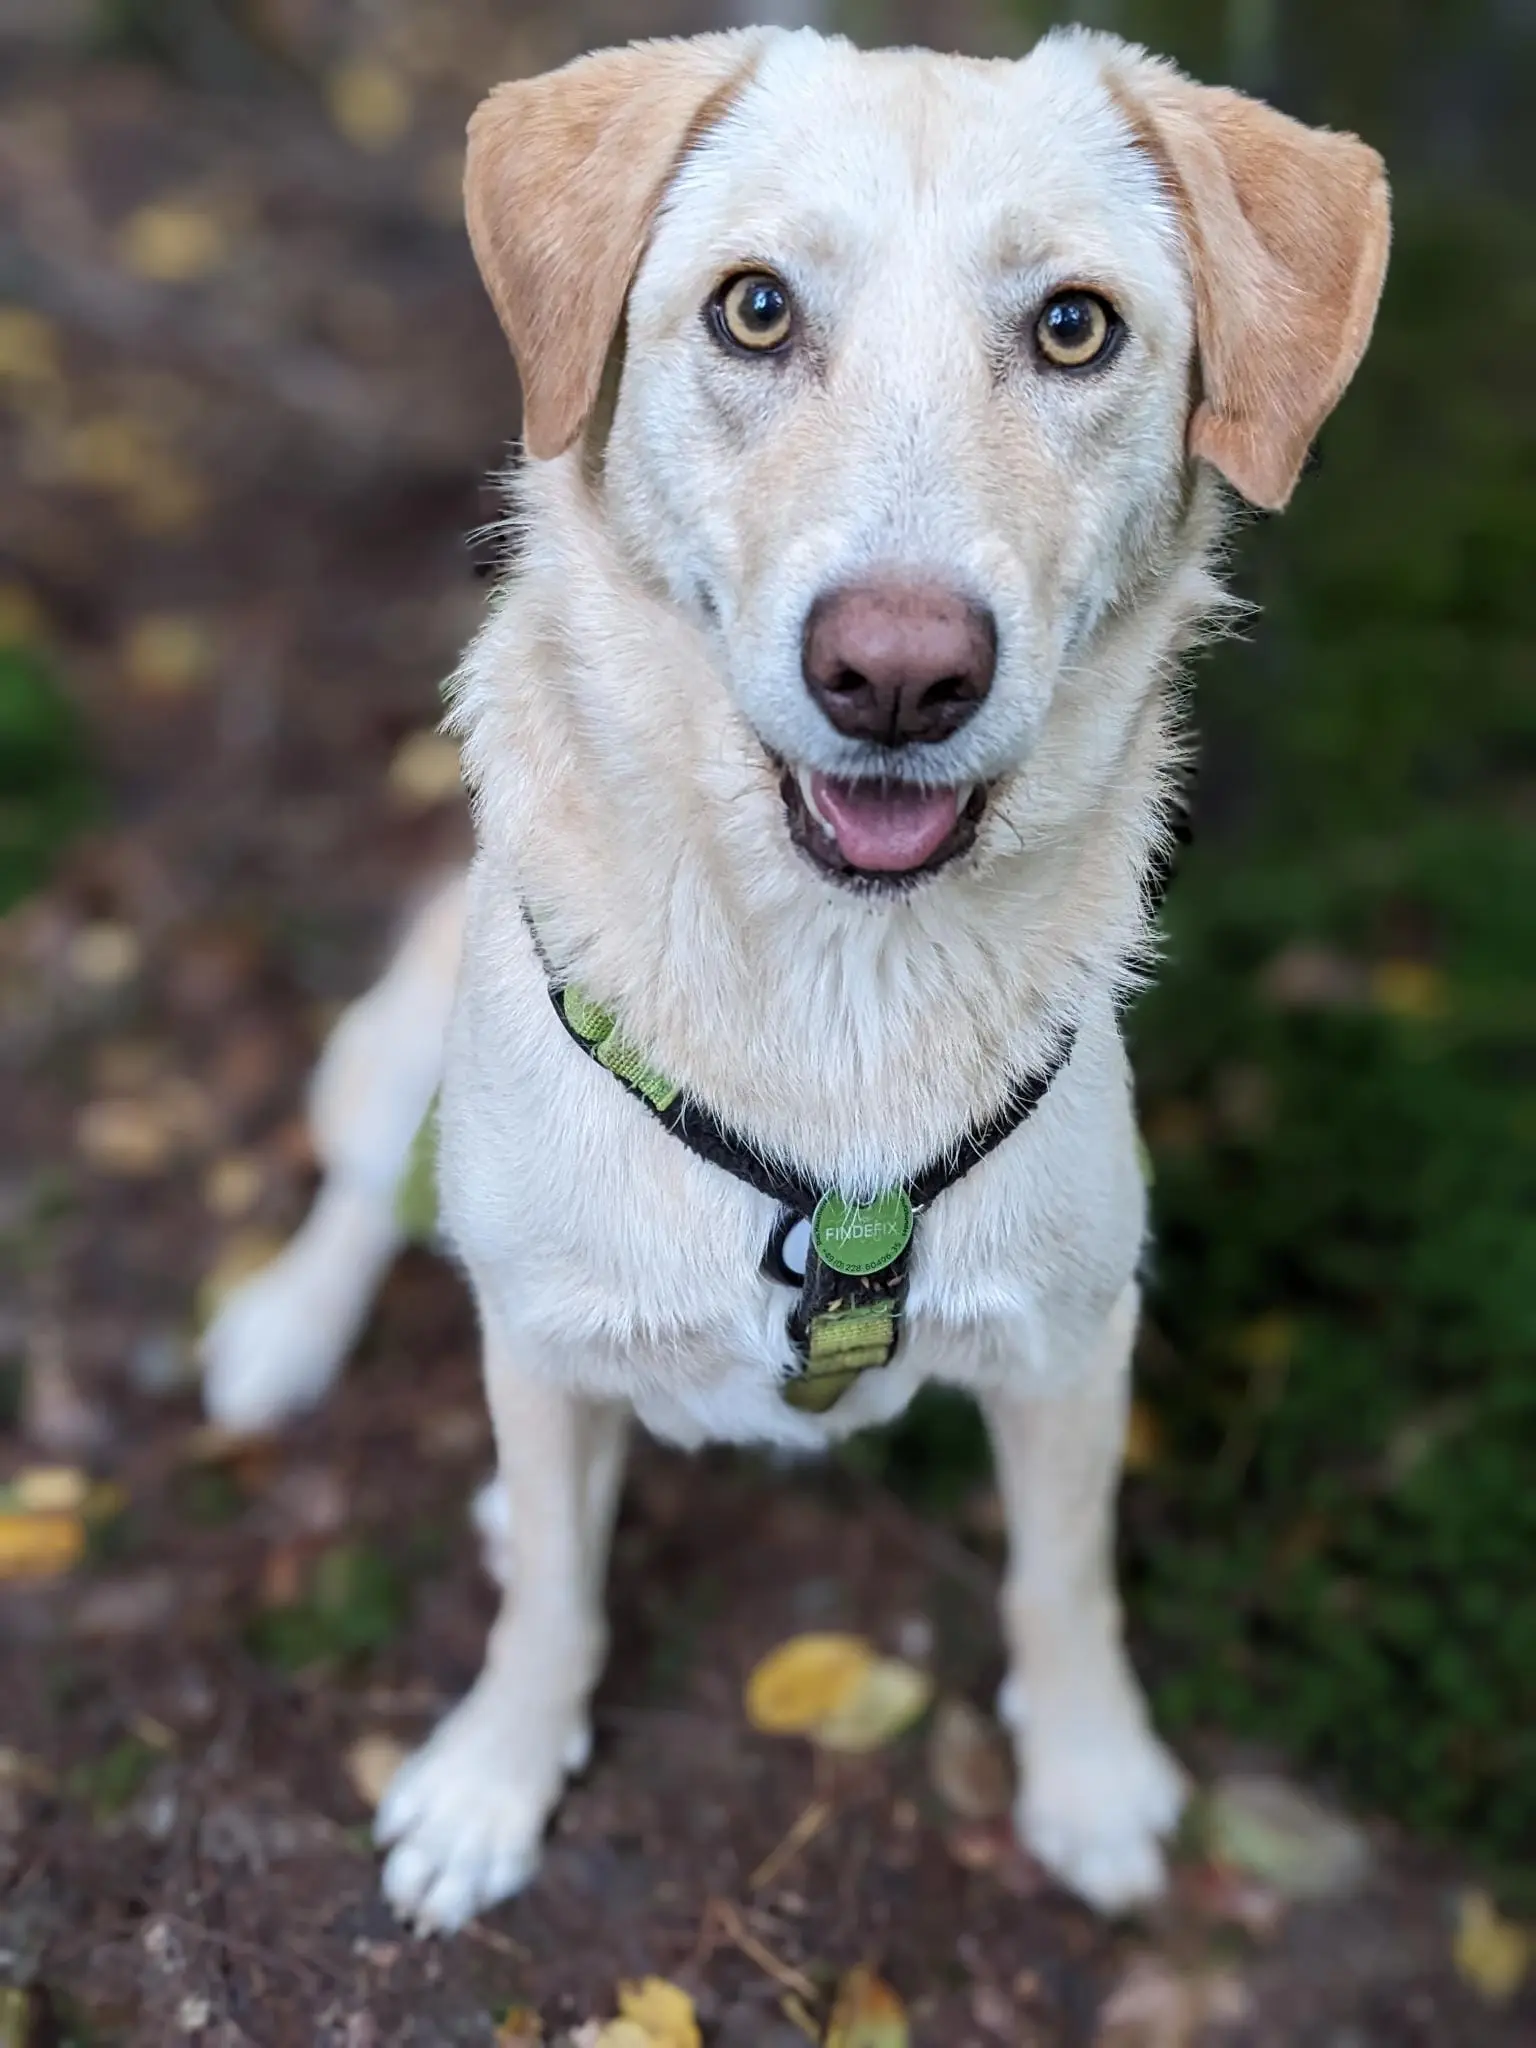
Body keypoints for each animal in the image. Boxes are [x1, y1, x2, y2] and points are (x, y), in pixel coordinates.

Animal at [198, 19, 1392, 1933]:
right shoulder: (538, 1343)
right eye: (754, 310)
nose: (897, 675)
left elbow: (1065, 1581)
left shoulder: (1076, 1343)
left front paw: (1091, 1775)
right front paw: (491, 1782)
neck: (839, 980)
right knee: (369, 1194)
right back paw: (285, 1334)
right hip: (393, 1051)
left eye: (1075, 327)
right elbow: (552, 1600)